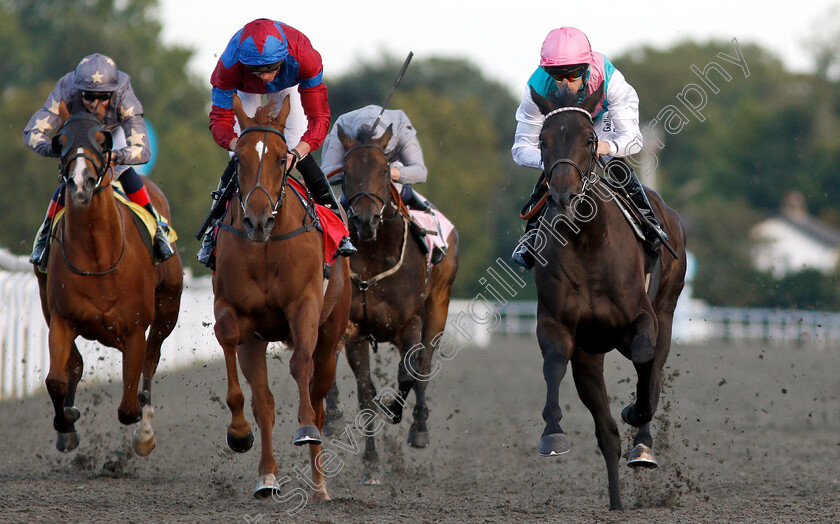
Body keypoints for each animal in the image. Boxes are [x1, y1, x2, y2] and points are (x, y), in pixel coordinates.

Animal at [35, 102, 183, 454]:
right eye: (60, 141)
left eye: (103, 142)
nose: (81, 182)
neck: (98, 256)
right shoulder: (61, 318)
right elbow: (57, 378)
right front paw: (66, 422)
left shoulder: (134, 328)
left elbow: (129, 404)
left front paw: (142, 426)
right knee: (74, 365)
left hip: (168, 308)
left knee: (152, 359)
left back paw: (145, 428)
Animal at [213, 96, 354, 502]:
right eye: (238, 160)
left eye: (280, 158)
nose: (257, 220)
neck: (265, 249)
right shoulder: (235, 311)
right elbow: (228, 336)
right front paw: (238, 432)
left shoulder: (305, 305)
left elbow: (300, 364)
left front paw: (304, 428)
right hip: (257, 343)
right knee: (265, 404)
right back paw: (267, 477)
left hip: (332, 333)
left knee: (319, 398)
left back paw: (320, 485)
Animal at [324, 125, 460, 486]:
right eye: (346, 172)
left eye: (385, 170)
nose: (365, 220)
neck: (375, 255)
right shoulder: (355, 329)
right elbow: (365, 393)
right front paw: (371, 463)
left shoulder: (409, 322)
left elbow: (408, 373)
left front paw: (397, 411)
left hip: (437, 309)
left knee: (423, 365)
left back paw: (419, 427)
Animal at [528, 84, 684, 510]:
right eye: (542, 141)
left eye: (589, 139)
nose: (563, 196)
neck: (587, 242)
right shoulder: (559, 325)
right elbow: (552, 363)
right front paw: (552, 433)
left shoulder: (641, 320)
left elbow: (645, 361)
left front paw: (636, 413)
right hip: (590, 354)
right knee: (607, 434)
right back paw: (615, 503)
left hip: (666, 308)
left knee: (655, 366)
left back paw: (642, 444)